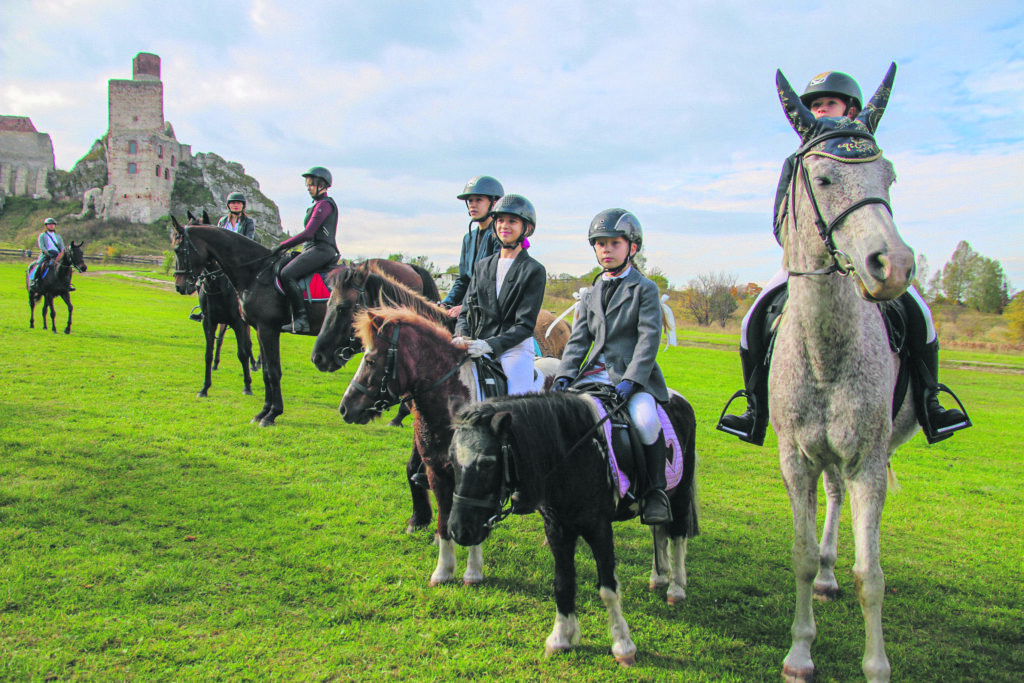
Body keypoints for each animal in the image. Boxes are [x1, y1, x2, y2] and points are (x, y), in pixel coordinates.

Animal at [335, 307, 561, 585]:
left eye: (370, 360)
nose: (345, 408)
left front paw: (473, 573)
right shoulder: (437, 473)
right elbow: (443, 521)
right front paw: (443, 571)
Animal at [452, 389, 700, 667]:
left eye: (487, 463)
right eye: (451, 459)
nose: (459, 530)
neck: (570, 452)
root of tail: (679, 399)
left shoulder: (599, 529)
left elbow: (608, 588)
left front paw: (623, 645)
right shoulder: (557, 529)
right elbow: (563, 583)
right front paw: (561, 638)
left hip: (680, 492)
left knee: (678, 536)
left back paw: (676, 587)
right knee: (658, 530)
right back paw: (658, 576)